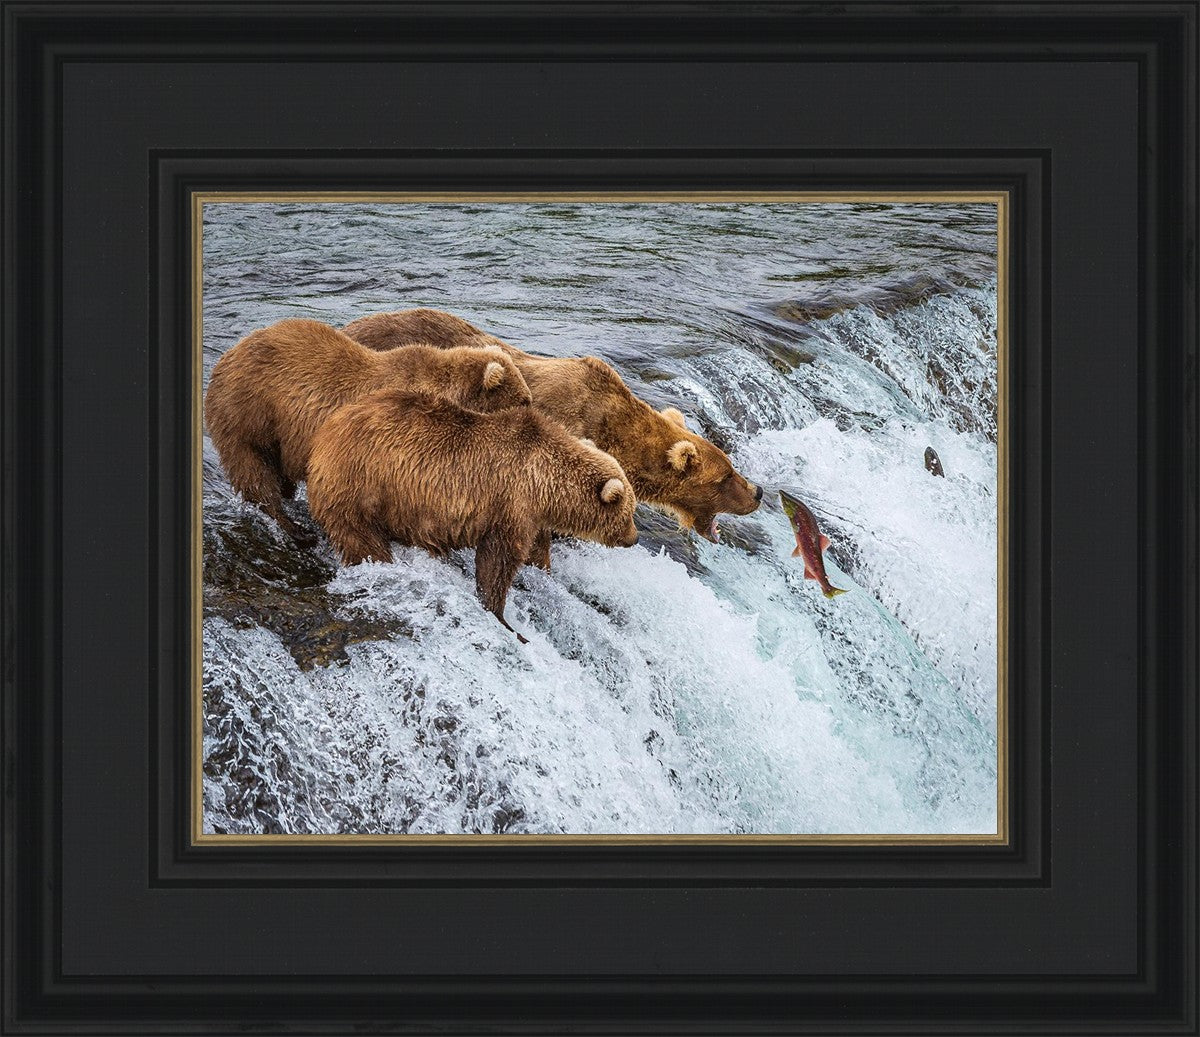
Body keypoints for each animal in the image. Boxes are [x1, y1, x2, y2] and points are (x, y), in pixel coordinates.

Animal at [204, 317, 532, 543]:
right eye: (524, 400)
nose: (533, 412)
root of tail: (226, 357)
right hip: (249, 413)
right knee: (254, 471)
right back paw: (293, 528)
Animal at [306, 388, 640, 641]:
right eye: (629, 512)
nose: (634, 538)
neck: (545, 483)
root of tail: (324, 434)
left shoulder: (532, 516)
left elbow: (535, 550)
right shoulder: (510, 503)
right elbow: (498, 561)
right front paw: (502, 616)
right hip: (361, 485)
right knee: (361, 539)